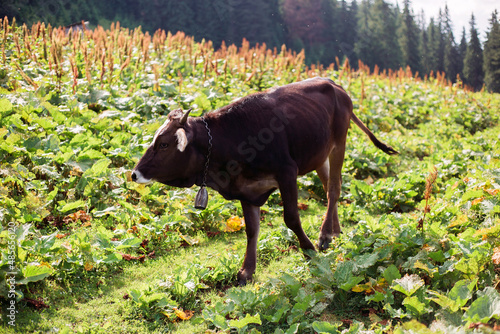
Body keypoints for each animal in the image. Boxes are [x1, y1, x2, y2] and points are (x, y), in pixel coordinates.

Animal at [131, 77, 396, 284]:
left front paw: (308, 250)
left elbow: (291, 218)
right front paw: (247, 271)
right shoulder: (246, 190)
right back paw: (335, 229)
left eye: (164, 144)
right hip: (319, 155)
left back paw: (325, 235)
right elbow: (252, 230)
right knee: (330, 186)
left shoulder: (287, 172)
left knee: (334, 189)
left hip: (339, 143)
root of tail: (334, 84)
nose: (135, 173)